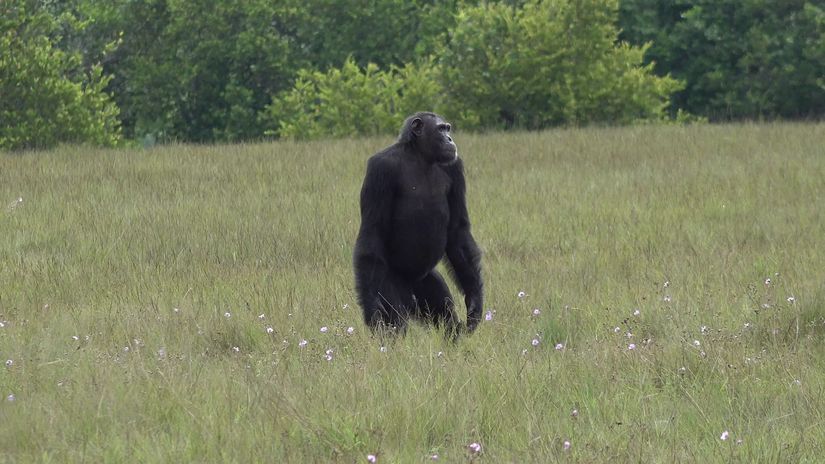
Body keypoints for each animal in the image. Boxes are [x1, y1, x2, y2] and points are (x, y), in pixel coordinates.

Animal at [352, 112, 482, 338]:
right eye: (441, 129)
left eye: (447, 128)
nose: (450, 139)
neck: (421, 157)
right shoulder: (380, 169)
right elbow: (373, 232)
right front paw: (372, 309)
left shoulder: (455, 168)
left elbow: (458, 231)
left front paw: (474, 299)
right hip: (388, 282)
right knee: (396, 323)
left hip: (427, 284)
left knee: (446, 317)